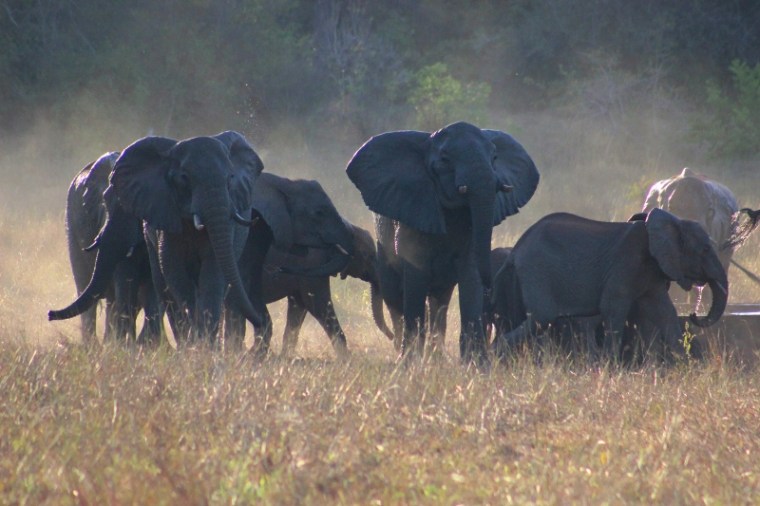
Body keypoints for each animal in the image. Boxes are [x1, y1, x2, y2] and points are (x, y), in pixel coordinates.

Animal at [48, 152, 163, 345]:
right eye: (105, 201)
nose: (49, 314)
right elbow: (125, 280)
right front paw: (126, 346)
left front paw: (143, 345)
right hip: (71, 228)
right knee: (87, 290)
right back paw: (95, 346)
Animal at [99, 131, 265, 344]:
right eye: (184, 178)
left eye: (230, 178)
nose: (259, 321)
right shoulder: (166, 215)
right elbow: (174, 270)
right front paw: (193, 339)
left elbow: (213, 272)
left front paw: (204, 343)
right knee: (163, 285)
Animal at [347, 121, 539, 366]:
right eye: (445, 160)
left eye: (495, 157)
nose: (491, 289)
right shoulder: (414, 209)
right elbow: (416, 275)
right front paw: (410, 363)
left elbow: (470, 272)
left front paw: (476, 364)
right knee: (395, 297)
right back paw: (404, 352)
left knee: (440, 302)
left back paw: (437, 357)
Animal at [492, 209, 728, 362]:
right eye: (706, 249)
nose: (693, 314)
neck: (674, 222)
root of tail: (515, 250)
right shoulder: (626, 262)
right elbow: (613, 308)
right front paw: (610, 367)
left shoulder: (652, 271)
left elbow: (665, 312)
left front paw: (684, 366)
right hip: (537, 270)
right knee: (543, 317)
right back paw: (496, 356)